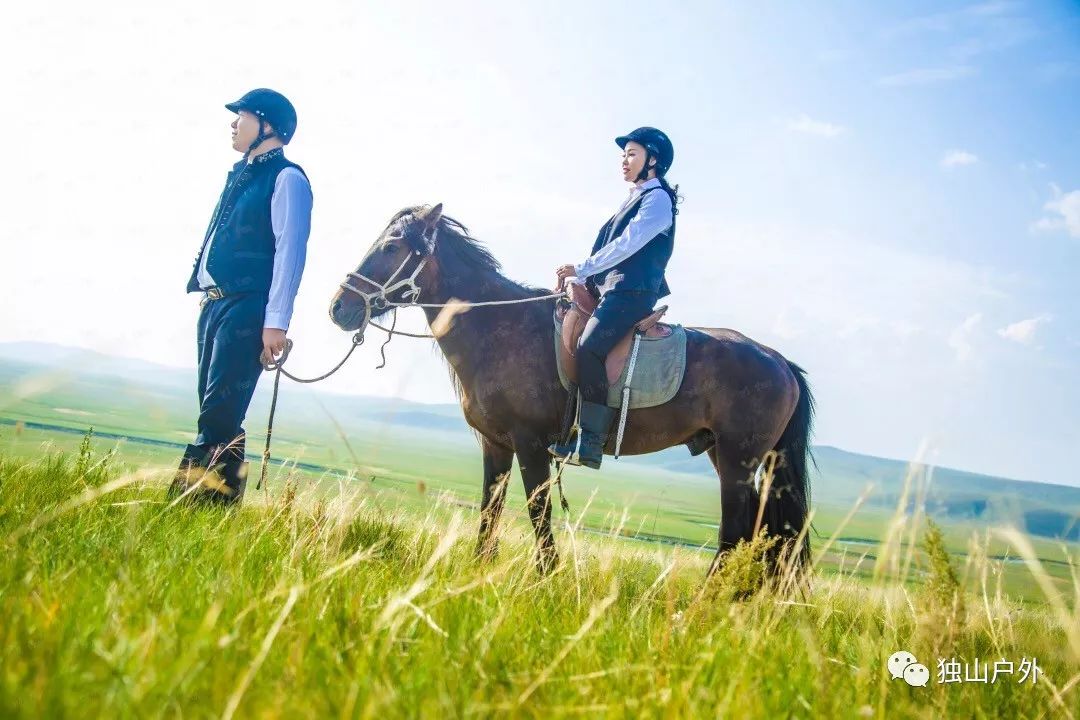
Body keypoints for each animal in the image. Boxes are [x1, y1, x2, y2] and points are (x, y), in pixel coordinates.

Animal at [328, 202, 812, 574]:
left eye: (391, 247)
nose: (339, 307)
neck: (499, 326)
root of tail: (780, 362)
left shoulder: (530, 442)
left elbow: (537, 512)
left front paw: (546, 577)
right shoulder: (495, 444)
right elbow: (490, 509)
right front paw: (479, 570)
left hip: (736, 461)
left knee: (736, 533)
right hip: (725, 454)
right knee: (760, 534)